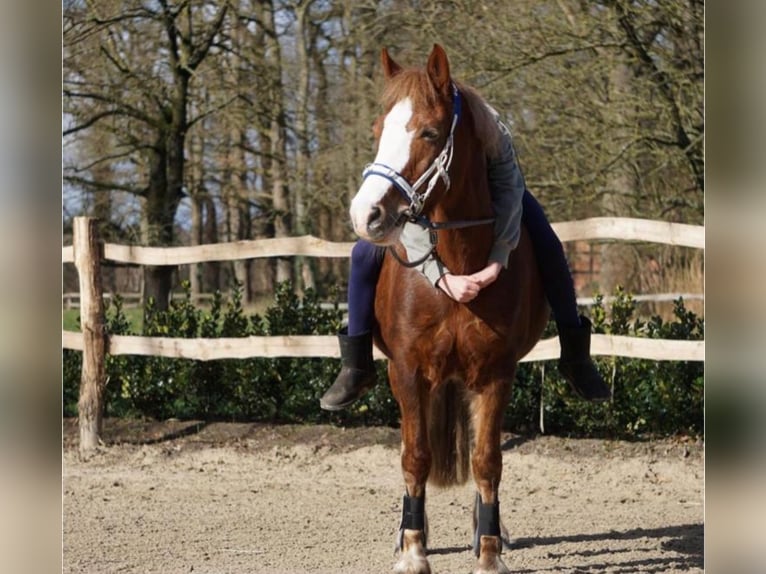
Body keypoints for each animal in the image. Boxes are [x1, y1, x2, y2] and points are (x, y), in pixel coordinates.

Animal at [348, 45, 552, 574]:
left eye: (429, 133)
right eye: (377, 130)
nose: (365, 214)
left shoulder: (495, 375)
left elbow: (486, 462)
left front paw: (489, 553)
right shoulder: (406, 371)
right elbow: (414, 457)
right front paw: (413, 549)